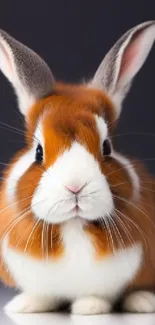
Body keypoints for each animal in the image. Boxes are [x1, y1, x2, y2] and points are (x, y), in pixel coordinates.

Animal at [0, 20, 155, 314]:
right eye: (38, 152)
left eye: (106, 147)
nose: (75, 187)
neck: (73, 225)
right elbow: (42, 295)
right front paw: (25, 305)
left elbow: (98, 296)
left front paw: (89, 308)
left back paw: (142, 302)